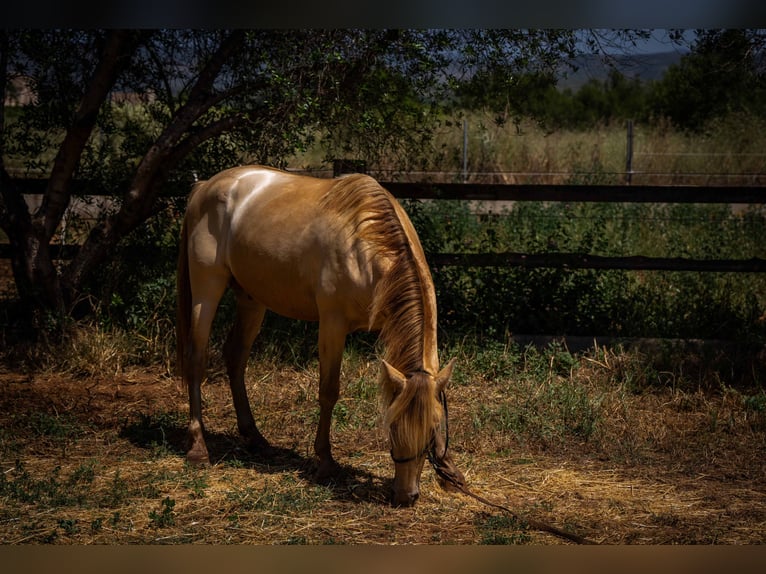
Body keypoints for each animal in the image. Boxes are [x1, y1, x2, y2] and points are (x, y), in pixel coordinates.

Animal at [176, 165, 464, 507]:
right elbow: (328, 392)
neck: (367, 245)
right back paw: (198, 447)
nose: (406, 496)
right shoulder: (332, 325)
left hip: (251, 300)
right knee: (196, 360)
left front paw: (449, 472)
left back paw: (255, 437)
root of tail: (206, 186)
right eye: (391, 426)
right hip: (206, 290)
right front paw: (325, 462)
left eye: (432, 431)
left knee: (235, 357)